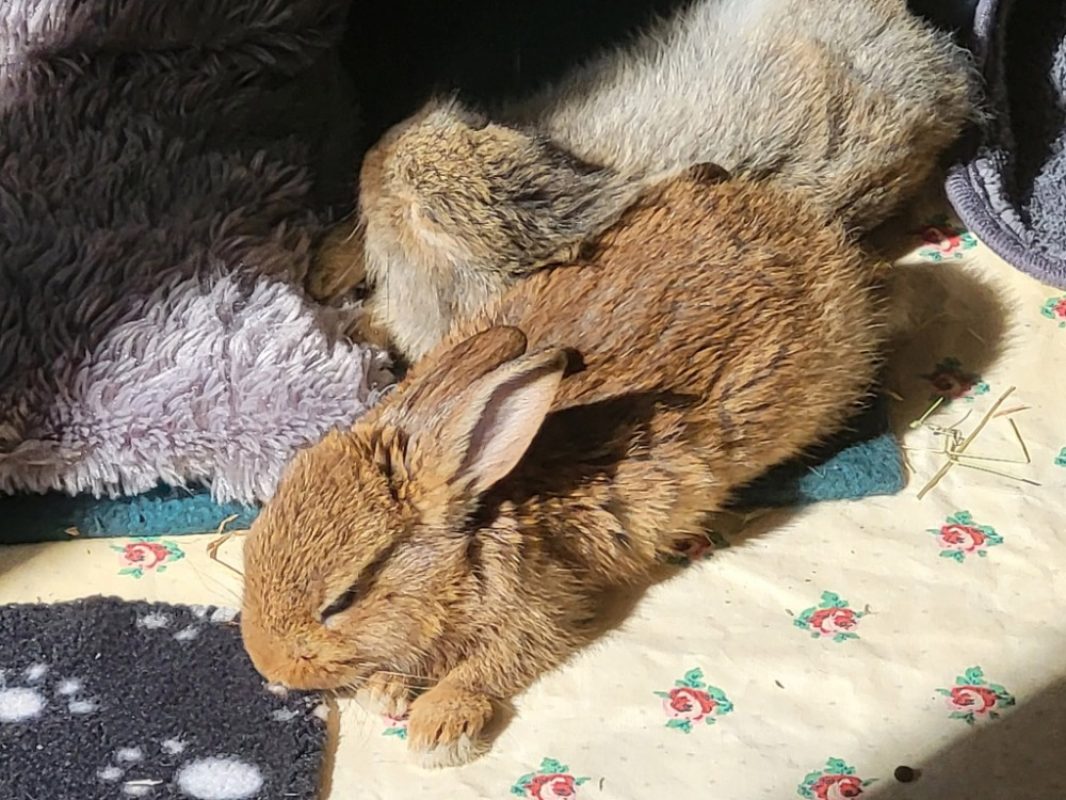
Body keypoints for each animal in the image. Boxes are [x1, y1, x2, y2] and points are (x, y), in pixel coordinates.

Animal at [242, 164, 890, 767]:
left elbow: (495, 663)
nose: (265, 664)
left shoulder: (546, 605)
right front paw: (387, 688)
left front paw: (439, 727)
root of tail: (805, 222)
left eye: (342, 600)